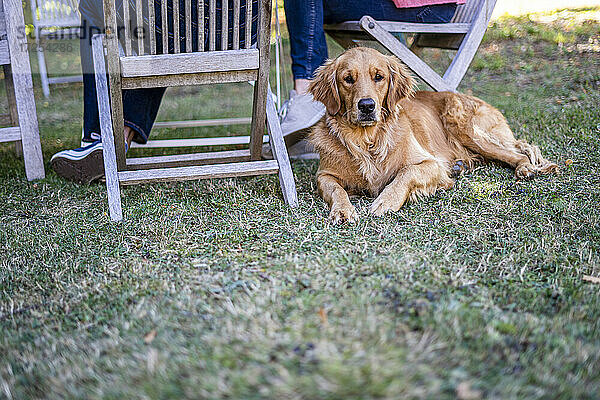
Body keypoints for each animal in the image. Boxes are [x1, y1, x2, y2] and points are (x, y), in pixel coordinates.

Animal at [308, 48, 560, 223]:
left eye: (378, 77)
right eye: (348, 79)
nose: (367, 106)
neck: (367, 140)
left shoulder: (431, 163)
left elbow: (405, 174)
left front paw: (386, 201)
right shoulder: (325, 175)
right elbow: (337, 189)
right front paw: (343, 210)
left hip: (465, 128)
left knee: (517, 152)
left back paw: (525, 168)